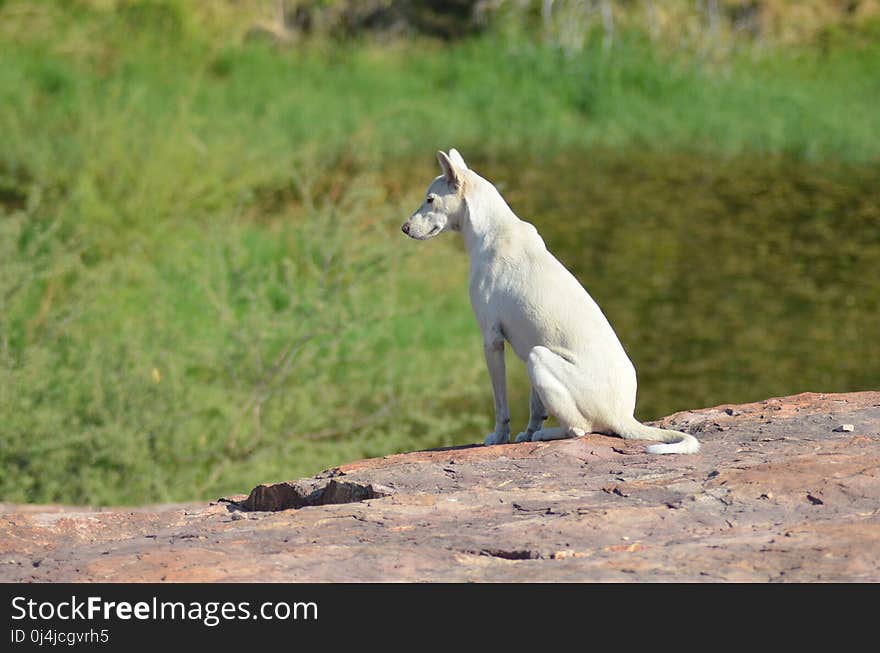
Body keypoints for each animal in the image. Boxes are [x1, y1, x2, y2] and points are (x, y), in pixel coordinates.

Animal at [402, 150, 696, 454]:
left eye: (430, 199)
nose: (404, 228)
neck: (492, 229)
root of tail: (622, 416)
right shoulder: (526, 347)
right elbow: (535, 408)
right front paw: (526, 433)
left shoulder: (492, 340)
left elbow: (500, 404)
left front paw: (500, 437)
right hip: (536, 355)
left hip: (538, 357)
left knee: (579, 429)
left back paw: (547, 434)